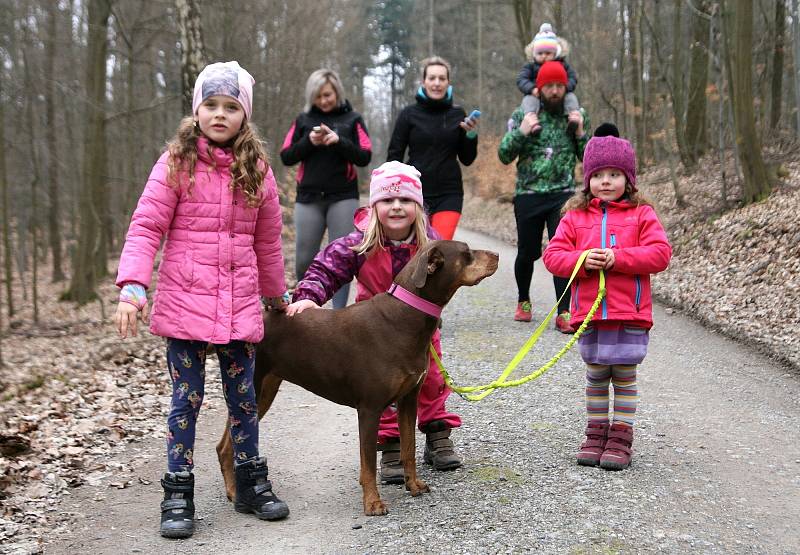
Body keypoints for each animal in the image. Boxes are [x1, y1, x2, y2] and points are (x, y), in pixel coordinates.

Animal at [216, 240, 496, 516]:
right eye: (467, 253)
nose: (497, 255)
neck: (404, 315)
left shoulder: (408, 399)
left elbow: (409, 447)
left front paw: (414, 484)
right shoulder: (370, 408)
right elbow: (368, 461)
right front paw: (372, 503)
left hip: (264, 390)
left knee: (224, 445)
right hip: (250, 385)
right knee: (228, 445)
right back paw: (235, 492)